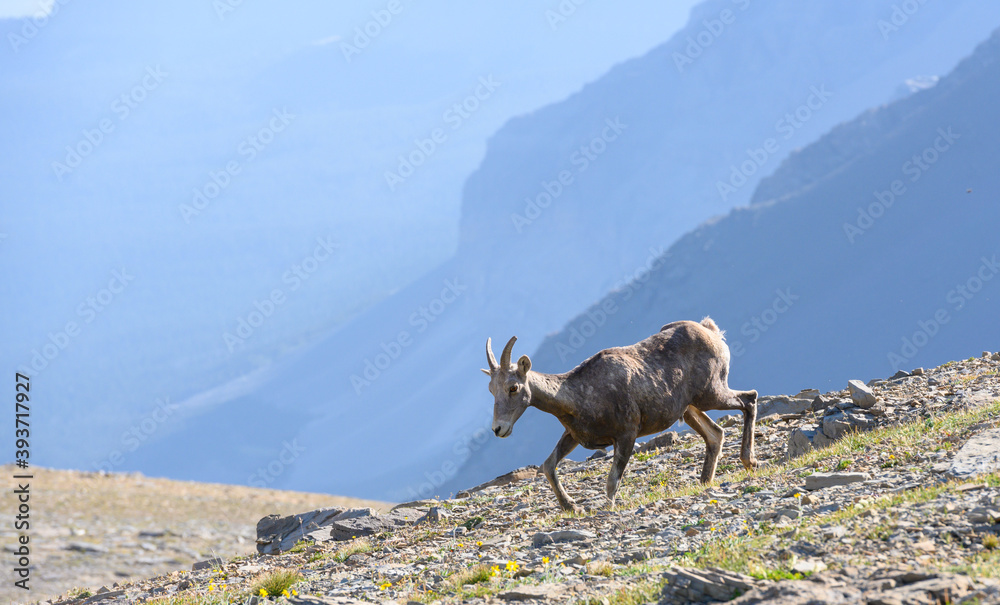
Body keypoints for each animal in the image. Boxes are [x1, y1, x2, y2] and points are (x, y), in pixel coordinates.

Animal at [482, 318, 758, 512]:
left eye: (513, 387)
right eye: (491, 389)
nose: (498, 429)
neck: (580, 395)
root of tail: (712, 332)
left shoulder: (626, 434)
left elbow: (612, 480)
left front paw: (607, 507)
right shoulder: (574, 436)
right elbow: (549, 465)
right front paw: (571, 506)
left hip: (711, 393)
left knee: (749, 399)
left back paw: (749, 461)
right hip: (690, 408)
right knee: (716, 434)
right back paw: (704, 481)